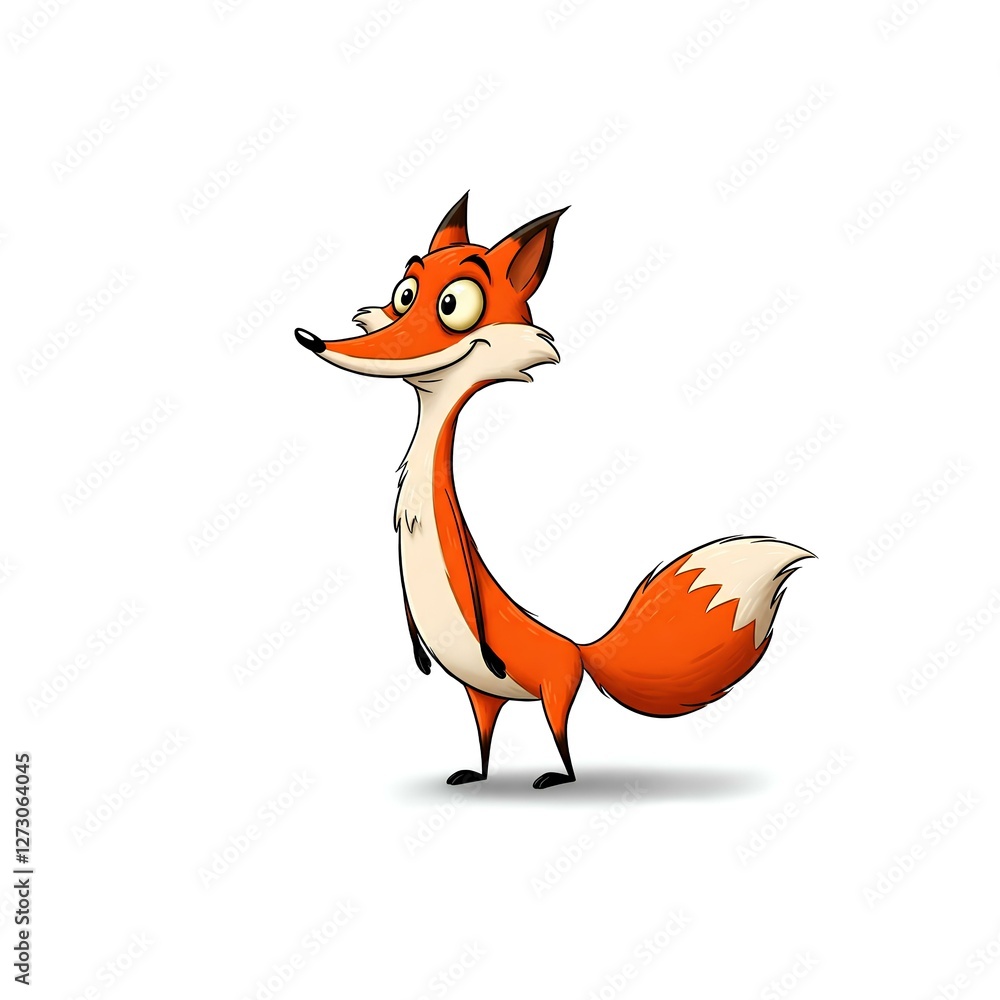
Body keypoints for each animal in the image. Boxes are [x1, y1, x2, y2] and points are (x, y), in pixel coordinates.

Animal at [294, 192, 813, 789]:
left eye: (453, 305)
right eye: (404, 296)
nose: (311, 340)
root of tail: (581, 650)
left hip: (554, 686)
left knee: (561, 735)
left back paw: (559, 776)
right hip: (481, 695)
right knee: (486, 731)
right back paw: (477, 775)